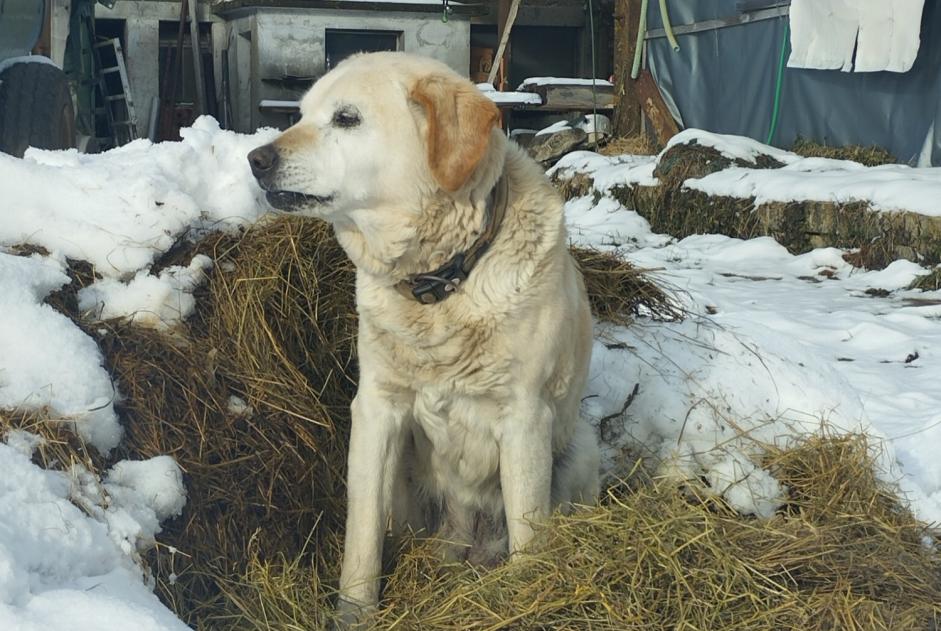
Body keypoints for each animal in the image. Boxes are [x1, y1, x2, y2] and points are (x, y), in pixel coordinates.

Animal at [250, 51, 600, 624]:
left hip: (578, 448)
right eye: (300, 114)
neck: (440, 282)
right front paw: (354, 613)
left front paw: (527, 600)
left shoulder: (524, 417)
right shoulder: (375, 409)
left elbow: (529, 536)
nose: (255, 159)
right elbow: (362, 537)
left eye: (346, 118)